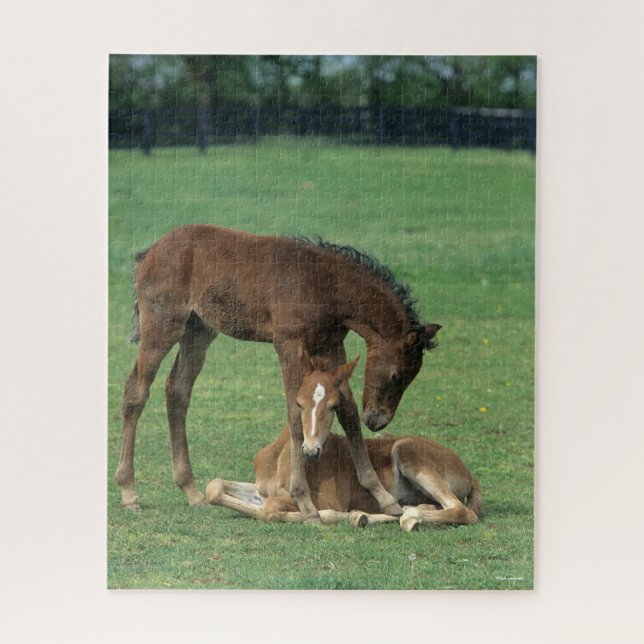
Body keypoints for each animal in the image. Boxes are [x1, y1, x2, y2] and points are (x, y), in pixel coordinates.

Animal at [116, 224, 441, 519]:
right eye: (397, 376)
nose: (378, 420)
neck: (327, 285)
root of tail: (149, 253)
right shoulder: (288, 343)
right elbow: (295, 415)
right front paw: (305, 503)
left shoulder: (331, 347)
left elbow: (347, 414)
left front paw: (385, 499)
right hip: (163, 326)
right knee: (136, 391)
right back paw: (129, 493)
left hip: (199, 330)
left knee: (177, 390)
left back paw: (192, 492)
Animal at [205, 349, 481, 532]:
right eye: (299, 402)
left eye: (334, 405)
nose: (311, 451)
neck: (280, 459)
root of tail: (469, 474)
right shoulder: (260, 490)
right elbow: (215, 488)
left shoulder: (327, 498)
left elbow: (273, 508)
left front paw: (326, 516)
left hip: (410, 454)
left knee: (461, 510)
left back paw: (406, 516)